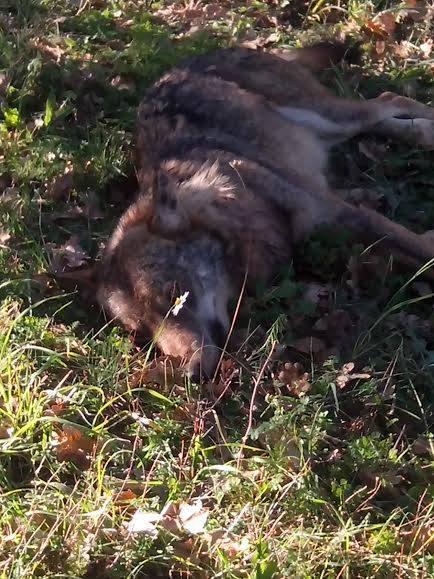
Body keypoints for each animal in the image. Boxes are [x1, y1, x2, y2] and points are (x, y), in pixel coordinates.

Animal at [68, 43, 434, 382]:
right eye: (143, 332)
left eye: (173, 298)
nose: (190, 375)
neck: (245, 202)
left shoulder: (348, 216)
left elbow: (420, 250)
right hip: (330, 130)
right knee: (385, 115)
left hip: (331, 117)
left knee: (389, 100)